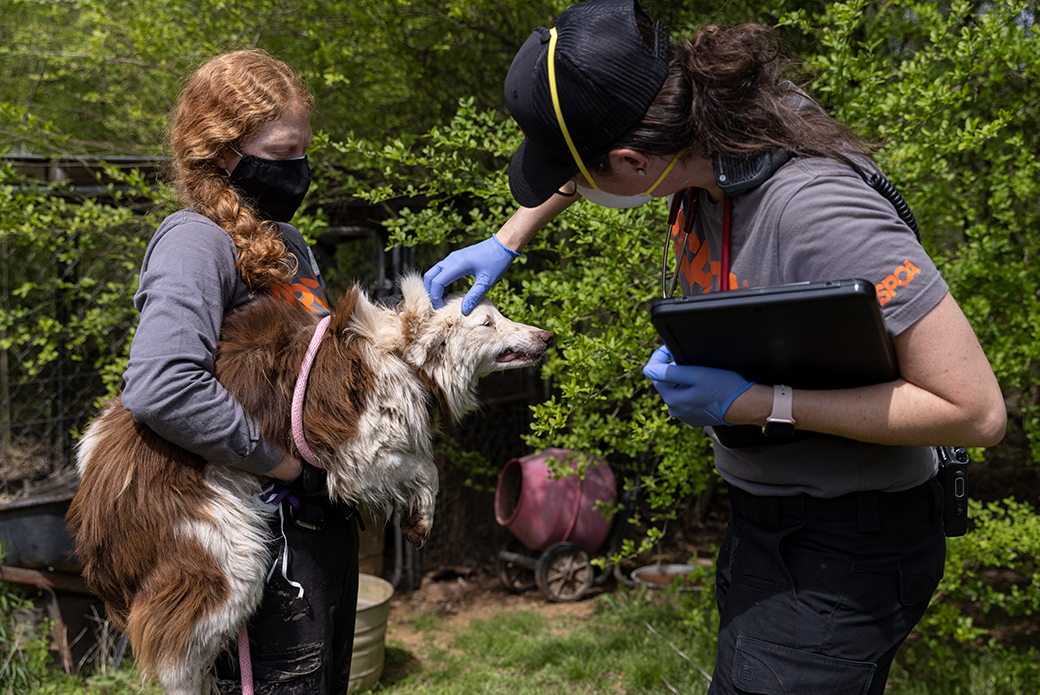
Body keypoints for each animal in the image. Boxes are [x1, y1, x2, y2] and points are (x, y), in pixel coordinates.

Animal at [65, 274, 553, 690]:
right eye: (487, 322)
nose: (547, 336)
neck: (402, 352)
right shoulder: (358, 448)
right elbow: (424, 466)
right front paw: (419, 518)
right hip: (223, 556)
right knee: (179, 658)